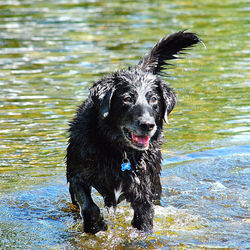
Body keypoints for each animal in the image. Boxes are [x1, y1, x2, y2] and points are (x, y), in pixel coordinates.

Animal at [65, 30, 200, 234]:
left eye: (154, 99)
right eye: (128, 99)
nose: (147, 124)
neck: (120, 151)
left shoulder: (143, 188)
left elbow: (144, 217)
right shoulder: (77, 174)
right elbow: (89, 206)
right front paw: (95, 226)